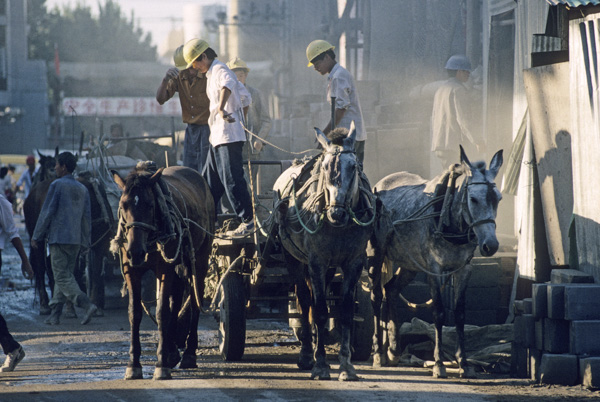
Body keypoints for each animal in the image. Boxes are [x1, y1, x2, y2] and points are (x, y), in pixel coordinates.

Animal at [112, 164, 216, 380]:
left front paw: (161, 365)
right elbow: (135, 313)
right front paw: (134, 364)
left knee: (194, 300)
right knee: (175, 302)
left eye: (150, 205)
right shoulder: (131, 270)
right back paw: (172, 351)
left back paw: (188, 354)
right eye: (124, 205)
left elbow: (161, 312)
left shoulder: (164, 269)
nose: (136, 251)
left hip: (200, 258)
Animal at [274, 124, 376, 382]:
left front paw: (346, 367)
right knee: (304, 300)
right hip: (293, 259)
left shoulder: (353, 262)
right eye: (325, 166)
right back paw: (306, 355)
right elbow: (319, 310)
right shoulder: (316, 262)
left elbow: (346, 310)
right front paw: (320, 365)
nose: (336, 213)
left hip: (329, 268)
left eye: (354, 167)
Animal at [370, 146, 502, 378]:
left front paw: (464, 363)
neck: (448, 220)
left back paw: (394, 350)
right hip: (377, 255)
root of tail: (379, 185)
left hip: (409, 264)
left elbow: (459, 314)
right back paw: (379, 353)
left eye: (498, 198)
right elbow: (439, 313)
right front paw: (439, 364)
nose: (491, 245)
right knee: (377, 295)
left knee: (391, 289)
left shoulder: (464, 269)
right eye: (473, 199)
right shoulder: (434, 269)